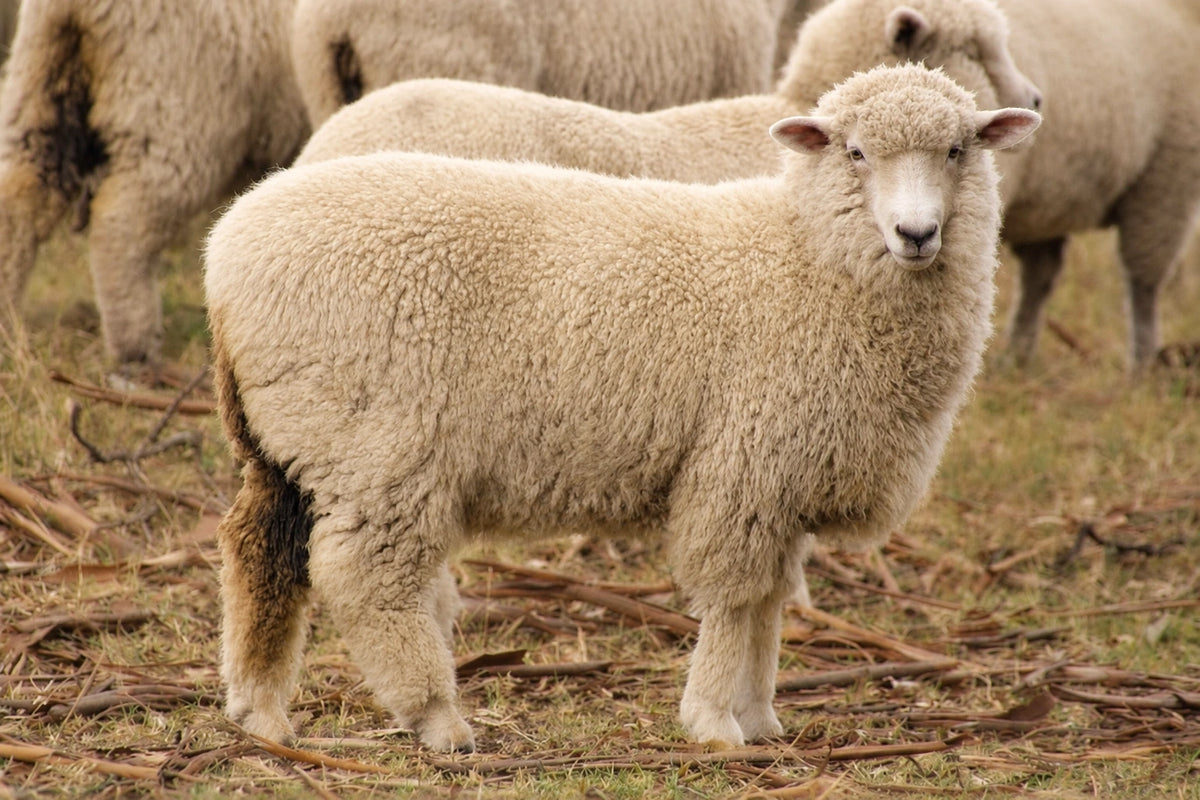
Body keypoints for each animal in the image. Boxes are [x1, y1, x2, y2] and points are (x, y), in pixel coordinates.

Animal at [205, 63, 1040, 752]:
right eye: (856, 153)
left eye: (959, 150)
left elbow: (770, 601)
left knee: (259, 551)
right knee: (365, 577)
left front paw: (762, 716)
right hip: (376, 442)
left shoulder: (787, 475)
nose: (916, 233)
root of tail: (228, 253)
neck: (804, 259)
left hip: (288, 439)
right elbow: (736, 600)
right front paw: (715, 722)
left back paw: (259, 711)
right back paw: (437, 718)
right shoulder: (743, 461)